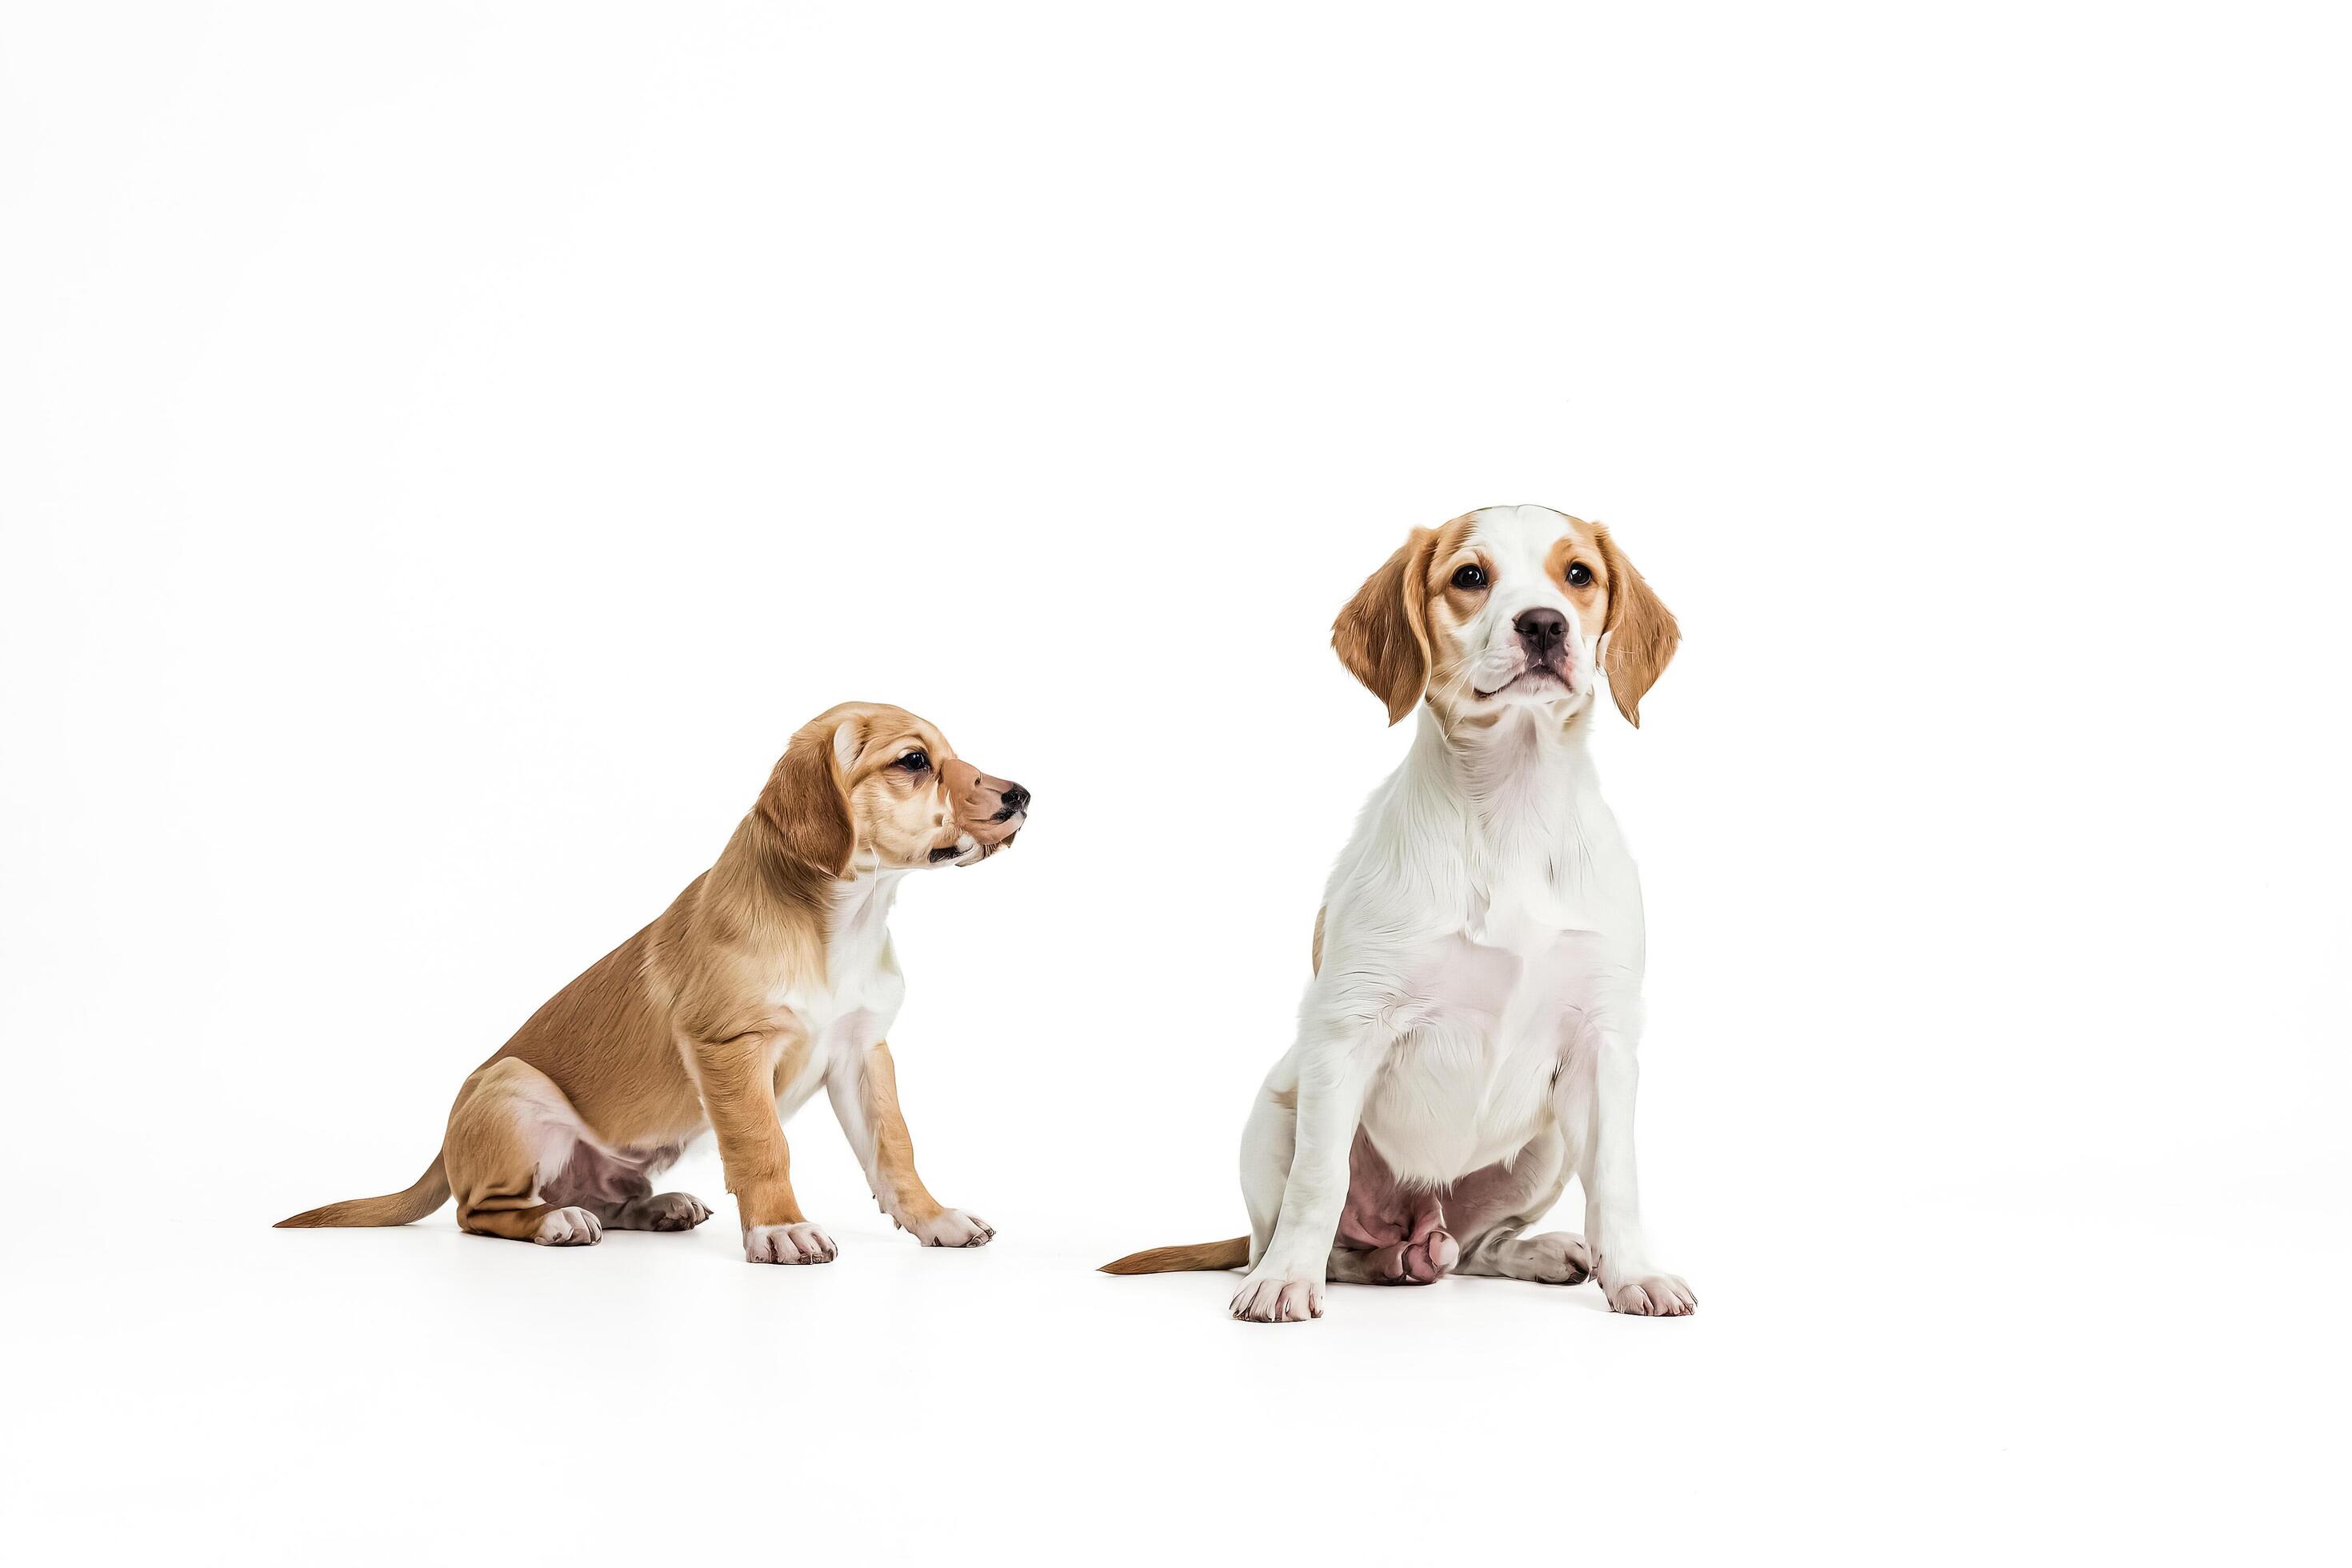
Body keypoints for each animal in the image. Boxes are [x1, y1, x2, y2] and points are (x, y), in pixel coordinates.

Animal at [277, 700, 1030, 1260]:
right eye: (914, 761)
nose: (1023, 793)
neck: (847, 919)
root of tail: (443, 1148)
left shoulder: (863, 1053)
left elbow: (895, 1148)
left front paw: (935, 1219)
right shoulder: (730, 1048)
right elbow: (764, 1145)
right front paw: (782, 1226)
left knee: (603, 1197)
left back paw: (656, 1206)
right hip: (513, 1090)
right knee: (480, 1211)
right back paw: (556, 1223)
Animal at [1100, 502, 1693, 1326]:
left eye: (1578, 574)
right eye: (1470, 576)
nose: (1544, 625)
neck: (1510, 805)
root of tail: (1422, 1216)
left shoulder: (1603, 1044)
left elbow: (1618, 1185)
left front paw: (1634, 1274)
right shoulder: (1348, 1029)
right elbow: (1318, 1184)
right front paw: (1286, 1284)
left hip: (1543, 1148)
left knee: (1474, 1249)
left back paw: (1525, 1251)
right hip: (1277, 1112)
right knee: (1318, 1239)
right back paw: (1343, 1262)